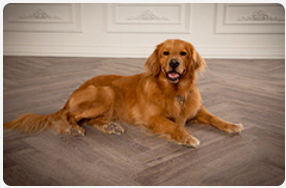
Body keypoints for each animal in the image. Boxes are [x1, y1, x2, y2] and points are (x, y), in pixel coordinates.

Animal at [3, 39, 242, 148]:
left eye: (183, 53)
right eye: (166, 53)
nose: (174, 63)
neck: (174, 91)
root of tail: (71, 95)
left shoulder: (195, 109)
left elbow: (215, 117)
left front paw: (232, 125)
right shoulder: (153, 118)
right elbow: (174, 126)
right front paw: (187, 137)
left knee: (90, 120)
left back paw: (110, 127)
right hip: (106, 92)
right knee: (70, 116)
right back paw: (75, 129)